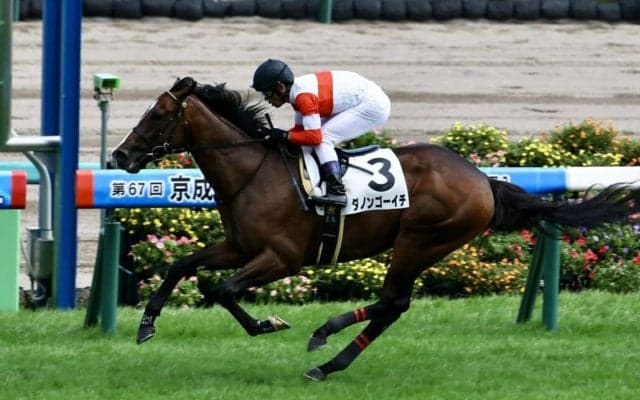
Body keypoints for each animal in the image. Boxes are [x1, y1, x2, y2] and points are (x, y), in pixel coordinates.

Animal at [112, 77, 640, 381]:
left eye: (158, 114)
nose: (119, 155)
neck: (253, 172)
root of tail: (484, 181)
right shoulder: (239, 247)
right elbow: (184, 267)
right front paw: (146, 323)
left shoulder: (282, 258)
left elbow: (219, 289)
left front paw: (267, 323)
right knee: (392, 305)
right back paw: (328, 355)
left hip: (420, 240)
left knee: (393, 303)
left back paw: (325, 349)